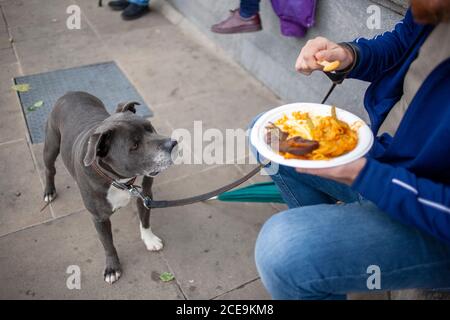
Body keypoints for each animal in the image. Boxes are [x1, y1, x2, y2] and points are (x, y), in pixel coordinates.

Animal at [42, 91, 176, 284]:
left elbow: (145, 220)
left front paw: (149, 239)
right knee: (49, 168)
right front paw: (112, 268)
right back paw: (49, 191)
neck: (119, 179)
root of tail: (70, 93)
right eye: (134, 146)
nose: (172, 144)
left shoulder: (145, 195)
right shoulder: (99, 218)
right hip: (51, 145)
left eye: (150, 128)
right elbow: (108, 244)